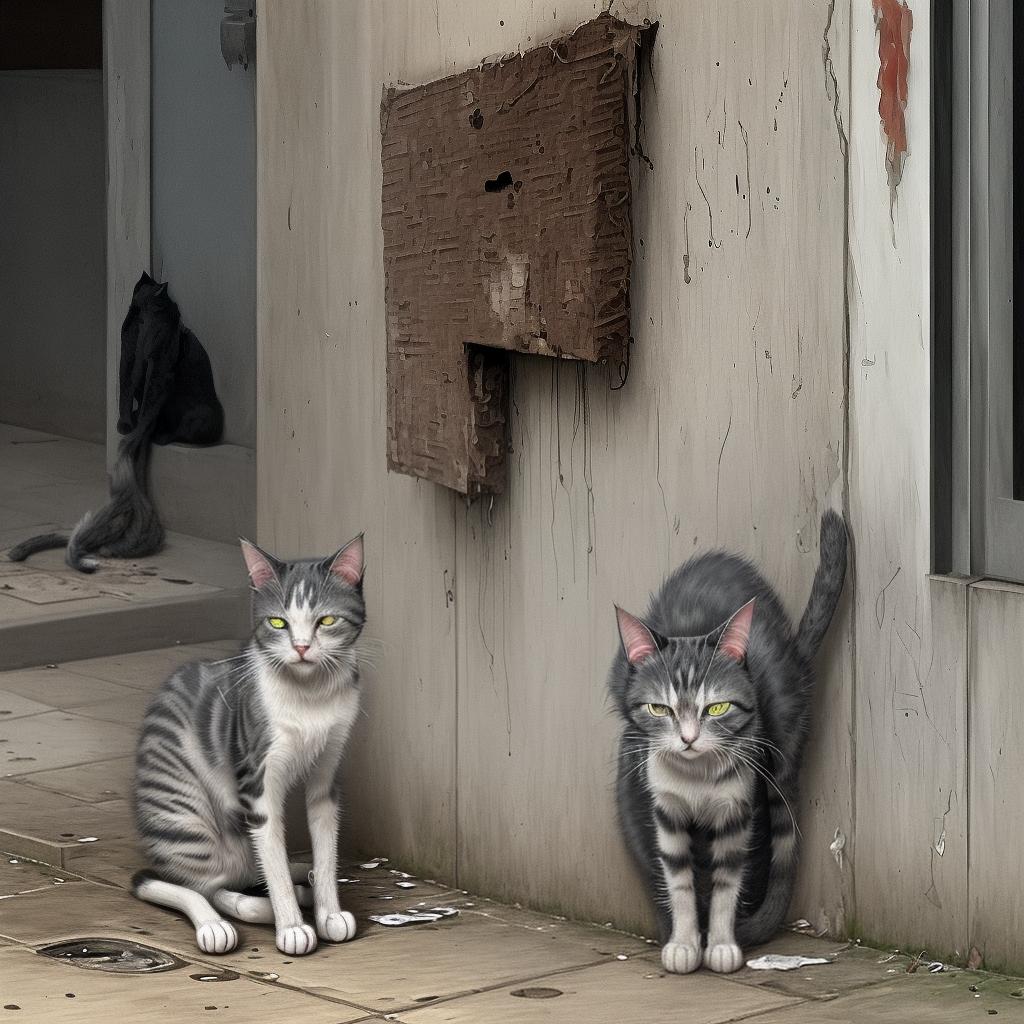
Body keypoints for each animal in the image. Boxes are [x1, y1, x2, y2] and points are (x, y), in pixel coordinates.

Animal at [131, 532, 364, 954]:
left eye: (326, 620)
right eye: (277, 622)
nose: (301, 647)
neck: (311, 696)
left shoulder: (327, 771)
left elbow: (324, 848)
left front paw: (328, 913)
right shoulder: (257, 782)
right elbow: (272, 862)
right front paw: (292, 927)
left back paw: (302, 878)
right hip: (188, 818)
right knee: (202, 887)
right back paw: (219, 923)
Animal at [610, 512, 843, 974]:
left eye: (716, 708)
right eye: (659, 709)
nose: (687, 738)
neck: (696, 779)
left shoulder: (737, 811)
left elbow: (727, 881)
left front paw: (721, 944)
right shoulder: (663, 812)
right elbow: (676, 879)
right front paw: (682, 942)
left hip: (782, 738)